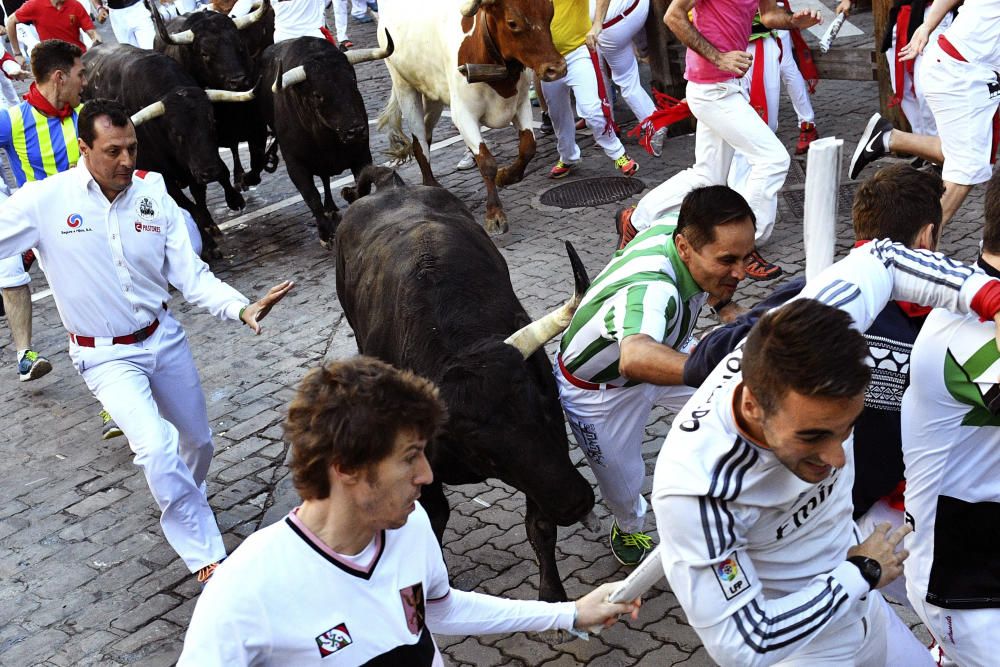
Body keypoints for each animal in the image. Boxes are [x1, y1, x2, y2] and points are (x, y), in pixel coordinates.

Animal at [340, 175, 596, 604]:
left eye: (545, 409)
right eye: (483, 451)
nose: (574, 502)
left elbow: (539, 525)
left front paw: (553, 596)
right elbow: (434, 519)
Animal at [376, 0, 568, 235]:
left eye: (550, 14)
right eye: (512, 23)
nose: (557, 68)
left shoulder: (520, 104)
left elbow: (528, 147)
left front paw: (506, 176)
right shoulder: (463, 115)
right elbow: (486, 162)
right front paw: (495, 214)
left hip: (433, 94)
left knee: (426, 135)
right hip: (404, 86)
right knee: (419, 142)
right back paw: (432, 187)